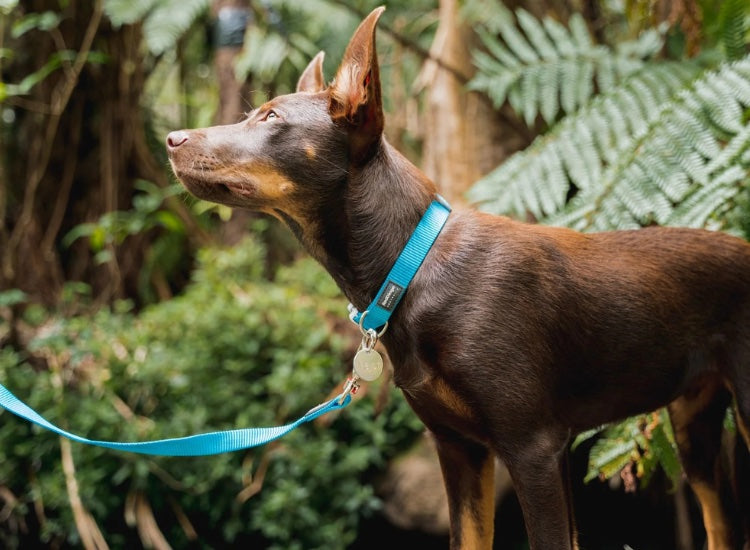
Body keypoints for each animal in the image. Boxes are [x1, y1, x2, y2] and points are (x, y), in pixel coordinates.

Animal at [169, 8, 750, 550]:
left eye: (270, 117)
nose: (171, 138)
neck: (412, 265)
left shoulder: (535, 448)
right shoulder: (459, 449)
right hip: (695, 430)